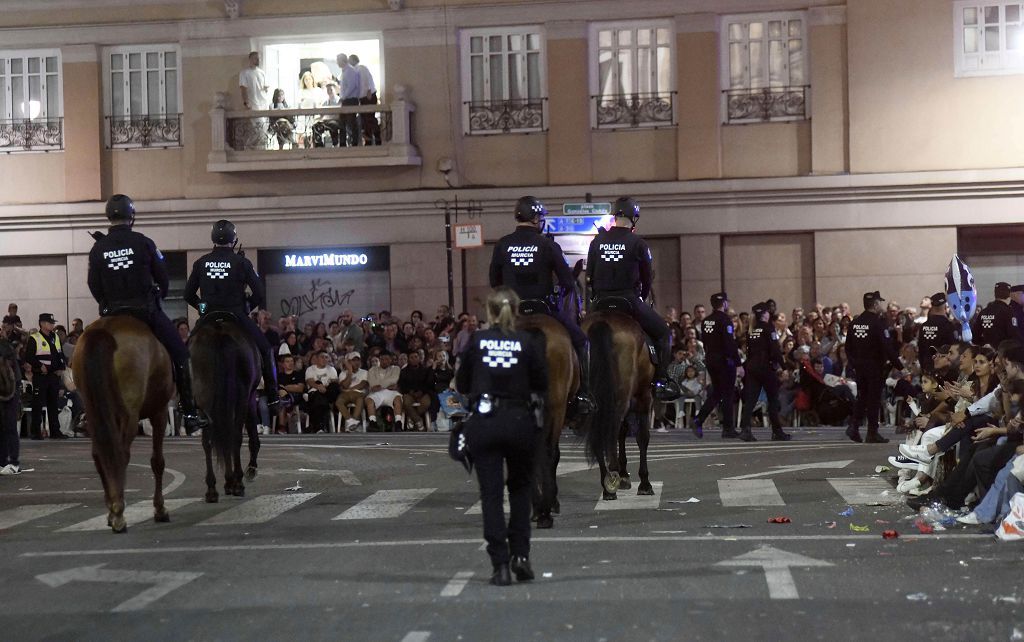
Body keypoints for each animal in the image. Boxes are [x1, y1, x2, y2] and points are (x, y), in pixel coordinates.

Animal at [73, 315, 175, 532]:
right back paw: (119, 512)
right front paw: (160, 509)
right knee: (120, 454)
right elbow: (158, 461)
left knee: (101, 455)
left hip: (95, 410)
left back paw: (112, 511)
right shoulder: (160, 412)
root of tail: (105, 329)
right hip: (129, 415)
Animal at [189, 315, 262, 501]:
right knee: (235, 436)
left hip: (204, 395)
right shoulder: (250, 395)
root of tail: (219, 332)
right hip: (242, 395)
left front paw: (228, 481)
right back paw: (238, 483)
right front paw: (248, 470)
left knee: (209, 440)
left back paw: (212, 489)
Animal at [516, 309, 581, 528]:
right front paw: (552, 502)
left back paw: (538, 509)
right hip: (556, 408)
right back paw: (544, 510)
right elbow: (554, 455)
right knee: (548, 452)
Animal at [585, 309, 655, 499]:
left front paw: (624, 476)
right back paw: (612, 477)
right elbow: (642, 436)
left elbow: (622, 433)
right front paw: (644, 483)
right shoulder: (643, 397)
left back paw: (607, 481)